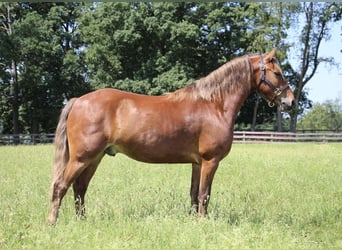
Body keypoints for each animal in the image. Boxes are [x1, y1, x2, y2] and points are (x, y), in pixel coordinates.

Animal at [47, 49, 294, 224]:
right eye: (277, 73)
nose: (290, 101)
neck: (214, 105)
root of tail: (79, 100)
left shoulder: (197, 163)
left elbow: (194, 194)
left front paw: (194, 221)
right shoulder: (210, 161)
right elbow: (204, 194)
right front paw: (203, 223)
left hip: (94, 158)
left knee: (80, 188)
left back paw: (82, 221)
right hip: (82, 158)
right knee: (61, 186)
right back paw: (52, 222)